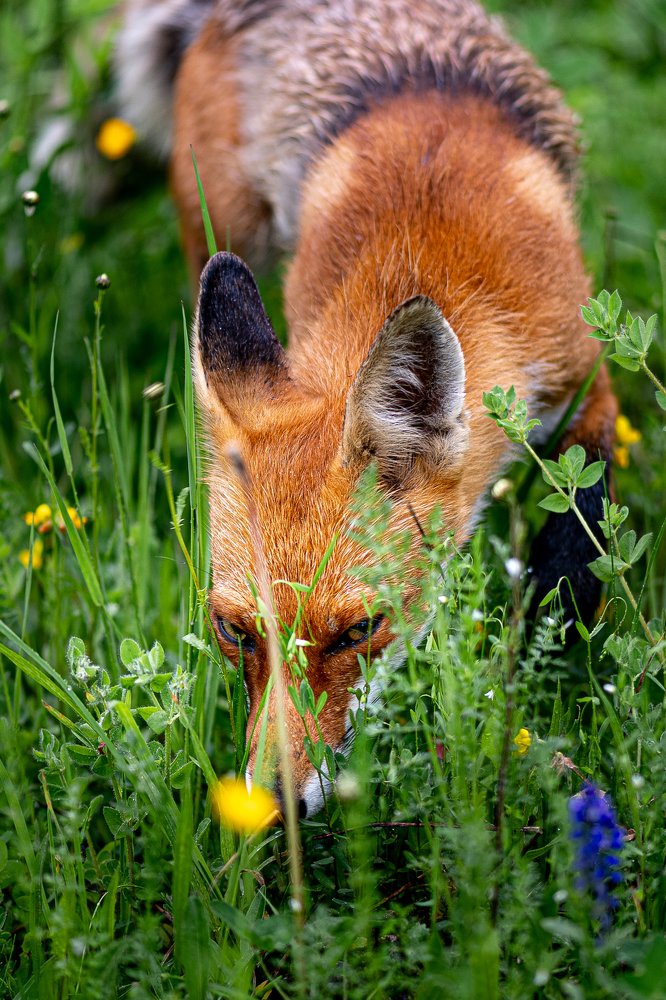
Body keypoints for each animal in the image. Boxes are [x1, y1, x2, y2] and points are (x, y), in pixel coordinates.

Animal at [117, 0, 617, 817]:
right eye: (234, 631)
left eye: (359, 631)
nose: (277, 806)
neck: (425, 240)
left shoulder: (585, 373)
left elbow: (581, 529)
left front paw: (546, 652)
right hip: (222, 231)